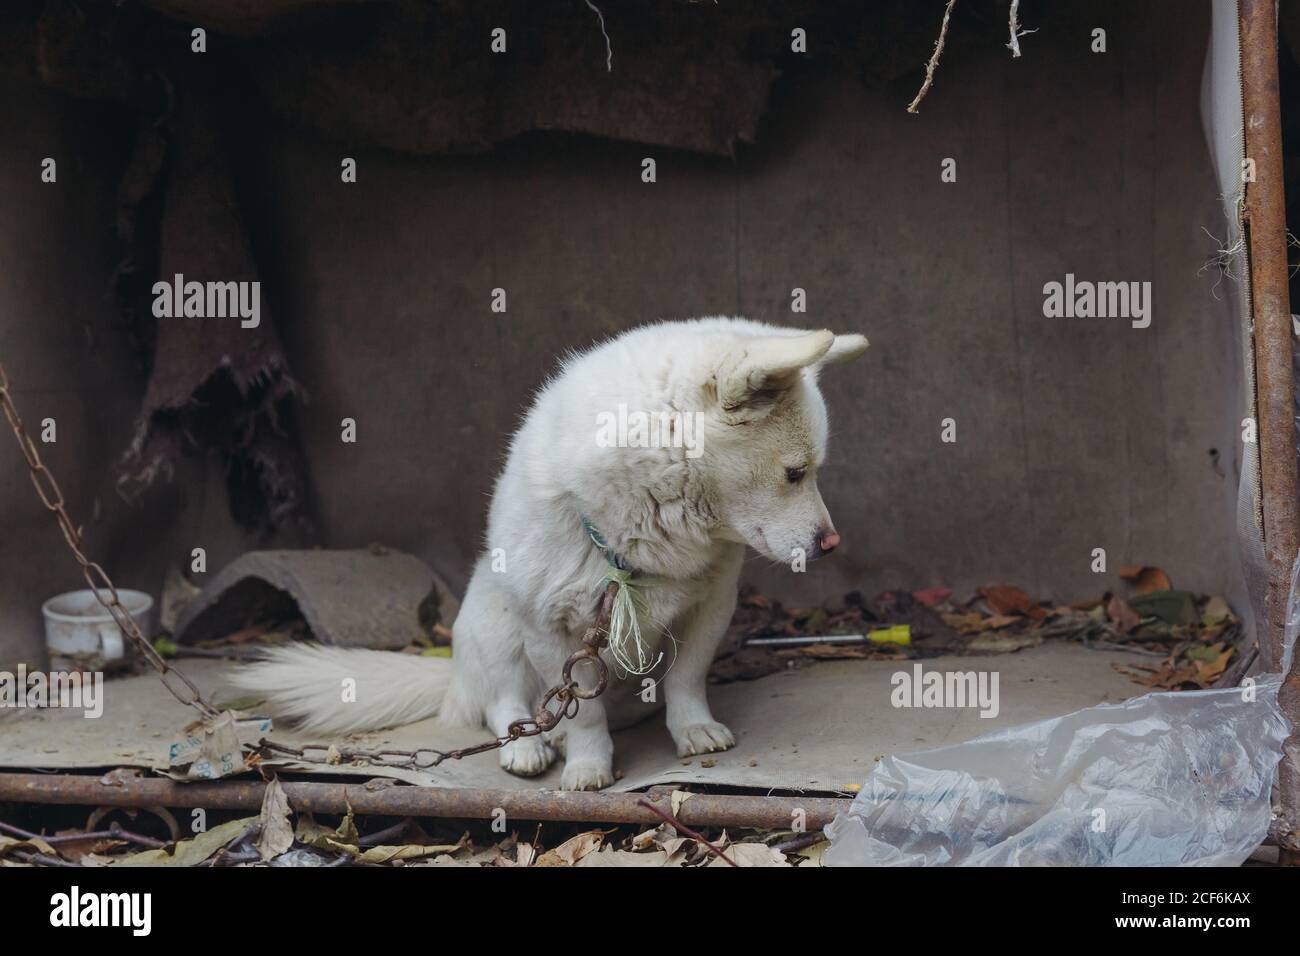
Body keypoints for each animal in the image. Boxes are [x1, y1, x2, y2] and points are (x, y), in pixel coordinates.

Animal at [230, 321, 868, 790]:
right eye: (795, 474)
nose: (830, 542)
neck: (634, 531)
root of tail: (453, 677)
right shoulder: (548, 629)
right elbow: (583, 711)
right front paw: (587, 764)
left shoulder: (709, 608)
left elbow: (686, 680)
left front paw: (693, 730)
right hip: (493, 625)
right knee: (505, 706)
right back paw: (533, 745)